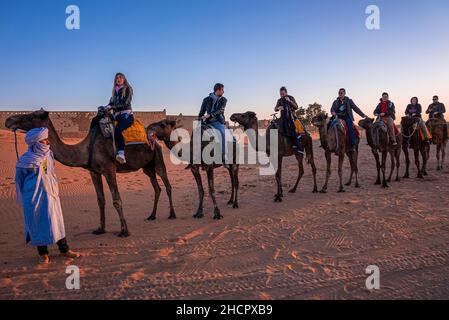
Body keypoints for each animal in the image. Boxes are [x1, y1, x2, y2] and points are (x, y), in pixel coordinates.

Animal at [6, 110, 177, 238]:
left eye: (29, 116)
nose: (8, 120)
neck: (87, 148)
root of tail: (153, 138)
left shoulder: (109, 169)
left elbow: (117, 200)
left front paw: (124, 231)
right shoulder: (94, 172)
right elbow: (100, 200)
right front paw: (100, 229)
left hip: (158, 158)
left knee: (167, 185)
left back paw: (172, 214)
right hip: (147, 167)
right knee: (157, 188)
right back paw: (152, 216)